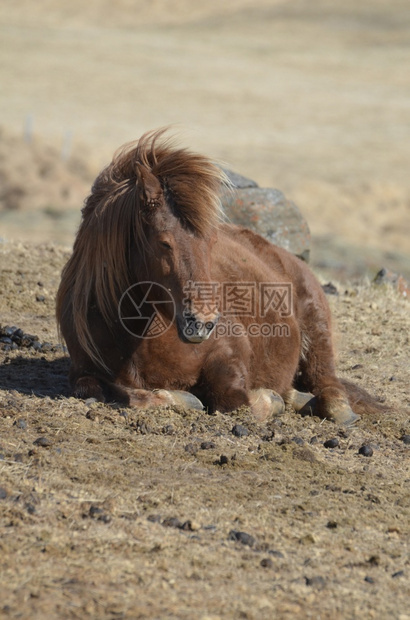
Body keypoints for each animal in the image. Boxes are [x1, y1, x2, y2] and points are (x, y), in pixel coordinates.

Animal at [56, 128, 380, 424]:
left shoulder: (229, 355)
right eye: (164, 242)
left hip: (316, 329)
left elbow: (235, 401)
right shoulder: (82, 372)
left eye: (211, 241)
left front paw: (267, 399)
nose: (203, 322)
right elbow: (105, 390)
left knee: (327, 384)